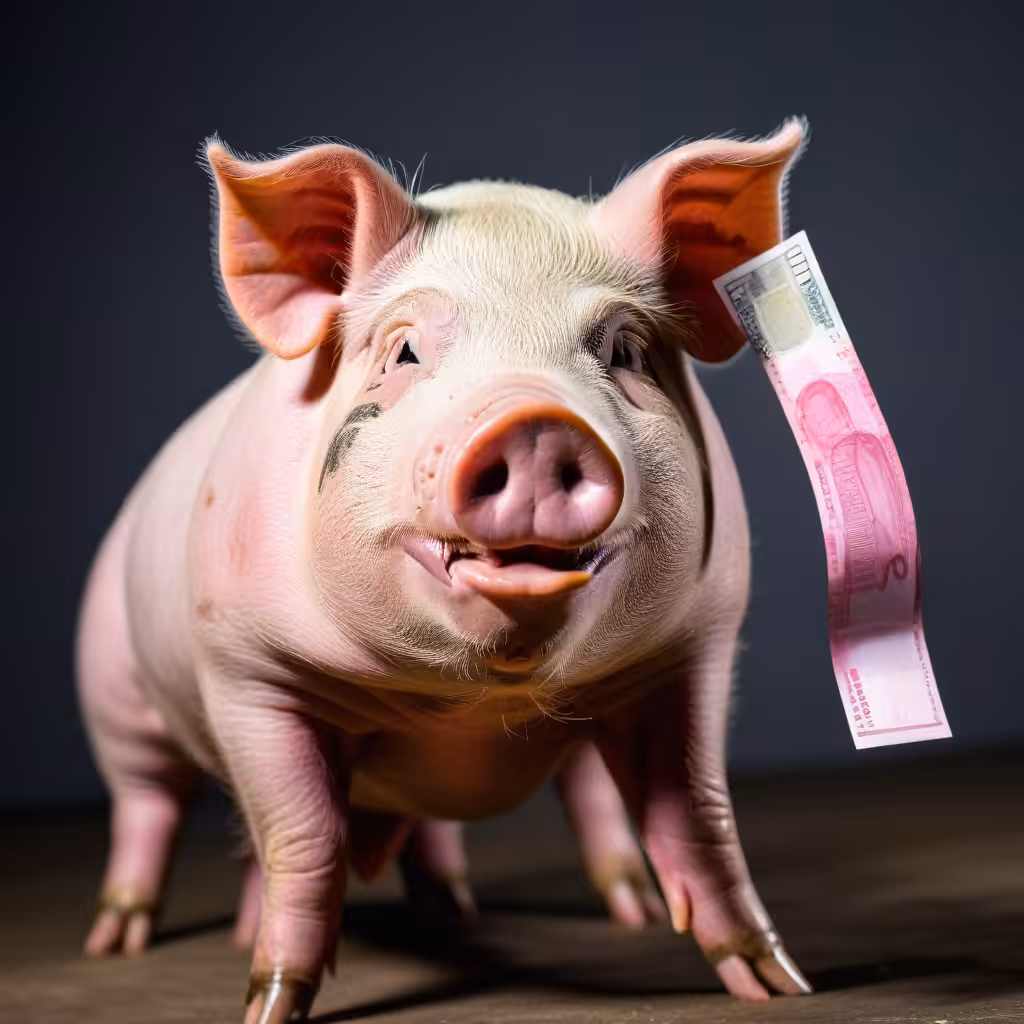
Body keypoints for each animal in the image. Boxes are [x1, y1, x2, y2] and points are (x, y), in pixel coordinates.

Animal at [76, 118, 813, 1023]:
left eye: (626, 350)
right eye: (405, 351)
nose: (537, 424)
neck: (463, 709)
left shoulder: (693, 648)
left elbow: (700, 820)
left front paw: (779, 984)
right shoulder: (246, 671)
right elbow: (303, 839)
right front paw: (270, 1006)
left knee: (577, 798)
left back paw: (567, 909)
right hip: (113, 685)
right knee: (153, 804)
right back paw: (119, 939)